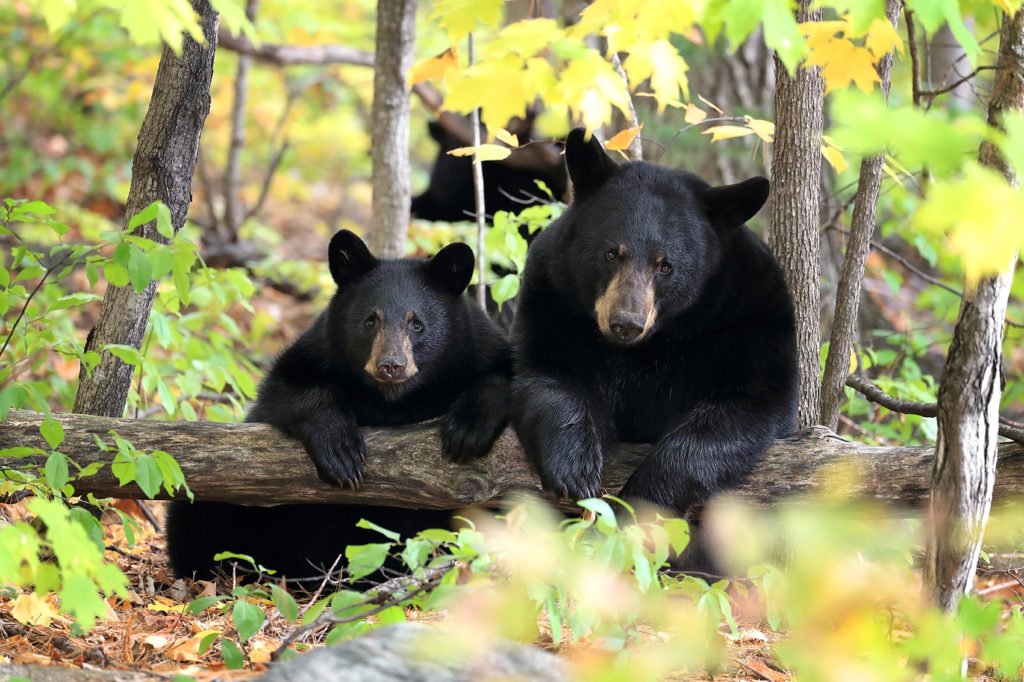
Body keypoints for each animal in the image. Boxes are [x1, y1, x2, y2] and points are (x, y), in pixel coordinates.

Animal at [166, 229, 512, 577]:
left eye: (417, 324)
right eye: (371, 321)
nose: (391, 365)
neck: (393, 400)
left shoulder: (477, 345)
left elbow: (503, 376)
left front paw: (466, 431)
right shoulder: (316, 352)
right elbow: (288, 390)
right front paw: (342, 453)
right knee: (195, 515)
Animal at [512, 127, 798, 548]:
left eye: (666, 266)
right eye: (611, 253)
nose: (625, 323)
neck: (646, 346)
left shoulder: (752, 319)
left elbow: (743, 406)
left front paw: (639, 502)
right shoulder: (552, 299)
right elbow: (547, 372)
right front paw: (574, 466)